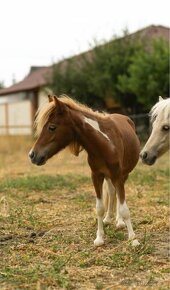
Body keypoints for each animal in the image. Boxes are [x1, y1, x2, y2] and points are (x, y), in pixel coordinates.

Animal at [29, 95, 140, 247]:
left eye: (52, 127)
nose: (32, 155)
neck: (105, 144)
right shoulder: (96, 176)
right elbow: (99, 207)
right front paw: (99, 238)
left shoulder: (118, 175)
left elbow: (124, 208)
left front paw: (133, 239)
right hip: (108, 176)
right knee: (112, 192)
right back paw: (108, 219)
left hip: (123, 175)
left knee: (117, 194)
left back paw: (119, 222)